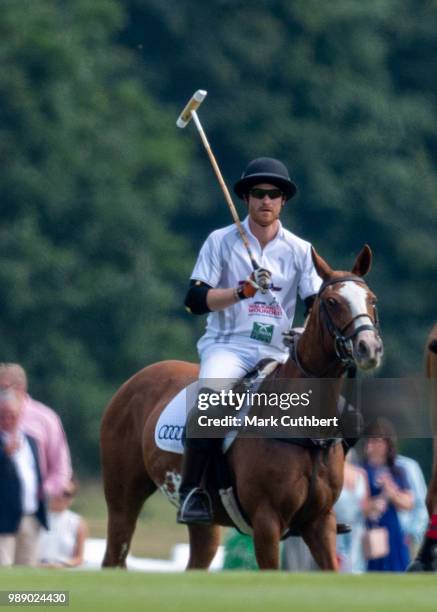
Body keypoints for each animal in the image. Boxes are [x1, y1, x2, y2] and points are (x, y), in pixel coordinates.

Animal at [99, 246, 382, 572]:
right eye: (332, 301)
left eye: (372, 298)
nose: (369, 347)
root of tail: (134, 379)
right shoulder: (267, 521)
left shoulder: (320, 521)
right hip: (123, 498)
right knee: (114, 556)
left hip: (205, 525)